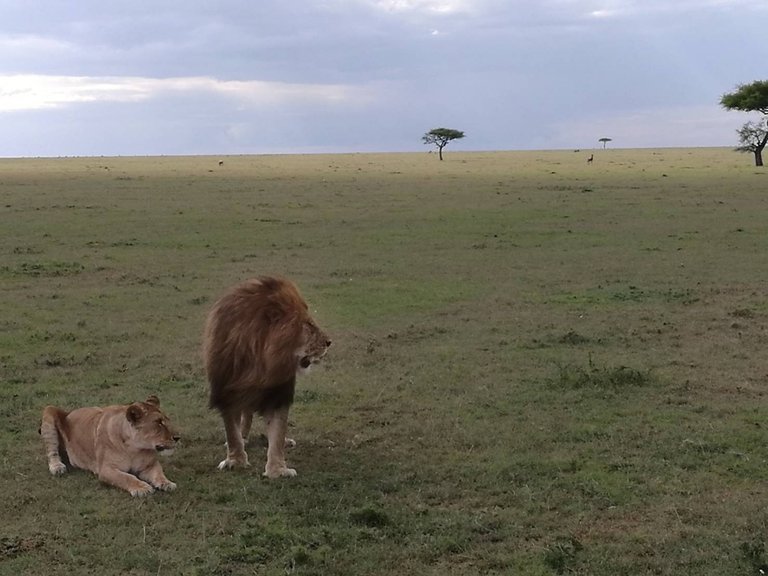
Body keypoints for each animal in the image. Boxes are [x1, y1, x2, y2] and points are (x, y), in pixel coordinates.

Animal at [41, 394, 178, 498]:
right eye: (159, 423)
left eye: (167, 420)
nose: (178, 437)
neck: (134, 449)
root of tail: (70, 412)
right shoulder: (106, 470)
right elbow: (127, 477)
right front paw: (142, 488)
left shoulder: (149, 465)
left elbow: (159, 473)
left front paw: (167, 483)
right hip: (49, 410)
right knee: (52, 451)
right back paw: (57, 467)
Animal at [206, 276, 332, 480]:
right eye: (308, 325)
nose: (329, 342)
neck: (260, 361)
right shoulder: (226, 391)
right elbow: (231, 431)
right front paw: (235, 460)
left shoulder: (278, 394)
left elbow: (278, 432)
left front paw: (277, 470)